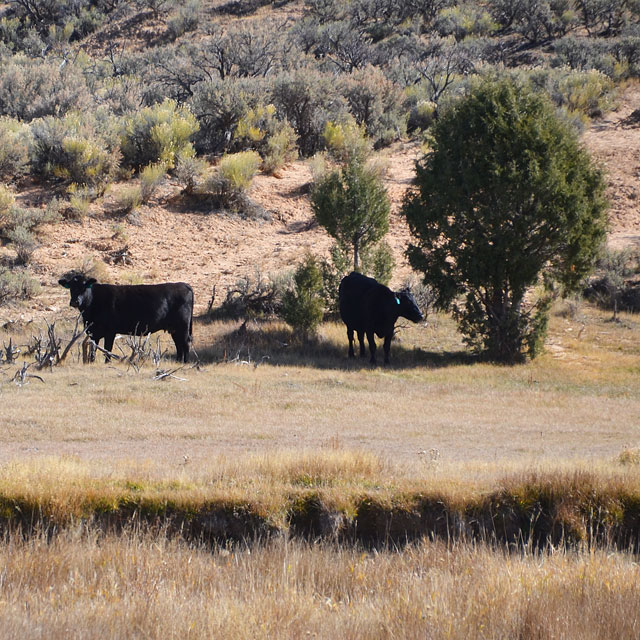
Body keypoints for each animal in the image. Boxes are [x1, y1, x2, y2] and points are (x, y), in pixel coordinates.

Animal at [58, 274, 194, 364]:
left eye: (84, 286)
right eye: (71, 287)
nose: (75, 301)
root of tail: (184, 285)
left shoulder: (110, 331)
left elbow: (107, 349)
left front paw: (107, 363)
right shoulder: (93, 332)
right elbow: (93, 350)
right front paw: (91, 362)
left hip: (183, 326)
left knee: (185, 343)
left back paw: (185, 362)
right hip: (174, 329)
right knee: (178, 344)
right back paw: (178, 361)